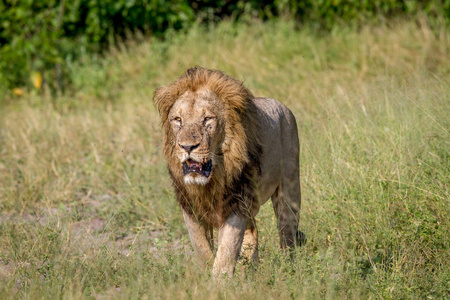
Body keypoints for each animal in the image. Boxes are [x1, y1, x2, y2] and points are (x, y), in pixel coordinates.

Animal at [153, 67, 304, 276]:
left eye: (207, 119)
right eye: (177, 119)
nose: (187, 147)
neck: (211, 181)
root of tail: (284, 107)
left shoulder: (235, 202)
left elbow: (226, 252)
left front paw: (219, 281)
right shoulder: (191, 209)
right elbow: (203, 250)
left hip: (289, 188)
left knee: (287, 232)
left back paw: (289, 268)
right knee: (252, 231)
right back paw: (249, 270)